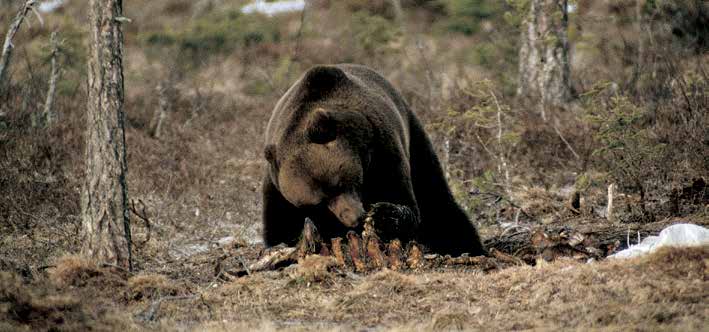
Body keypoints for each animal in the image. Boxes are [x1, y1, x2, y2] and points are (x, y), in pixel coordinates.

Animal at [262, 63, 486, 255]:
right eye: (319, 204)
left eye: (339, 183)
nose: (354, 218)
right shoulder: (277, 184)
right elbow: (278, 224)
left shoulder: (382, 147)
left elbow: (402, 199)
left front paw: (381, 216)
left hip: (414, 135)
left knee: (435, 195)